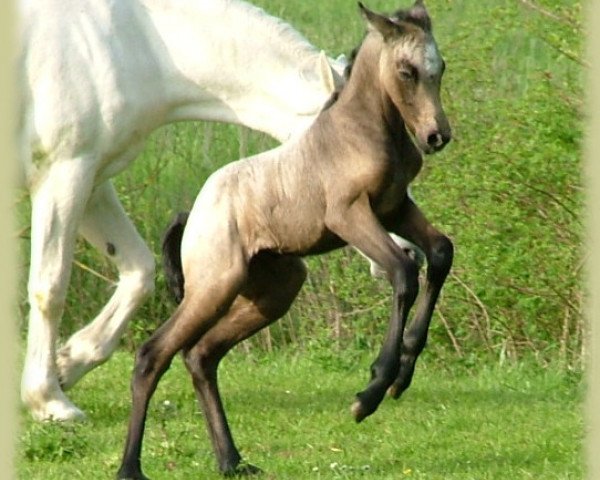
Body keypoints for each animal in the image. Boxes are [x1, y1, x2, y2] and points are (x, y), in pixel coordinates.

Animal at [18, 0, 346, 422]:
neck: (131, 42)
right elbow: (50, 287)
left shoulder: (91, 180)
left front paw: (68, 363)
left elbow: (139, 271)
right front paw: (49, 400)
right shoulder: (63, 175)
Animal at [118, 1, 454, 478]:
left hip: (273, 290)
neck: (365, 130)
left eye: (439, 67)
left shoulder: (396, 210)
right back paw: (131, 467)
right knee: (154, 354)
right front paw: (370, 392)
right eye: (406, 70)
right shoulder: (350, 215)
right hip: (213, 287)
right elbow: (404, 271)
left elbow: (441, 253)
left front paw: (403, 374)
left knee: (201, 355)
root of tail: (194, 214)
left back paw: (232, 460)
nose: (436, 137)